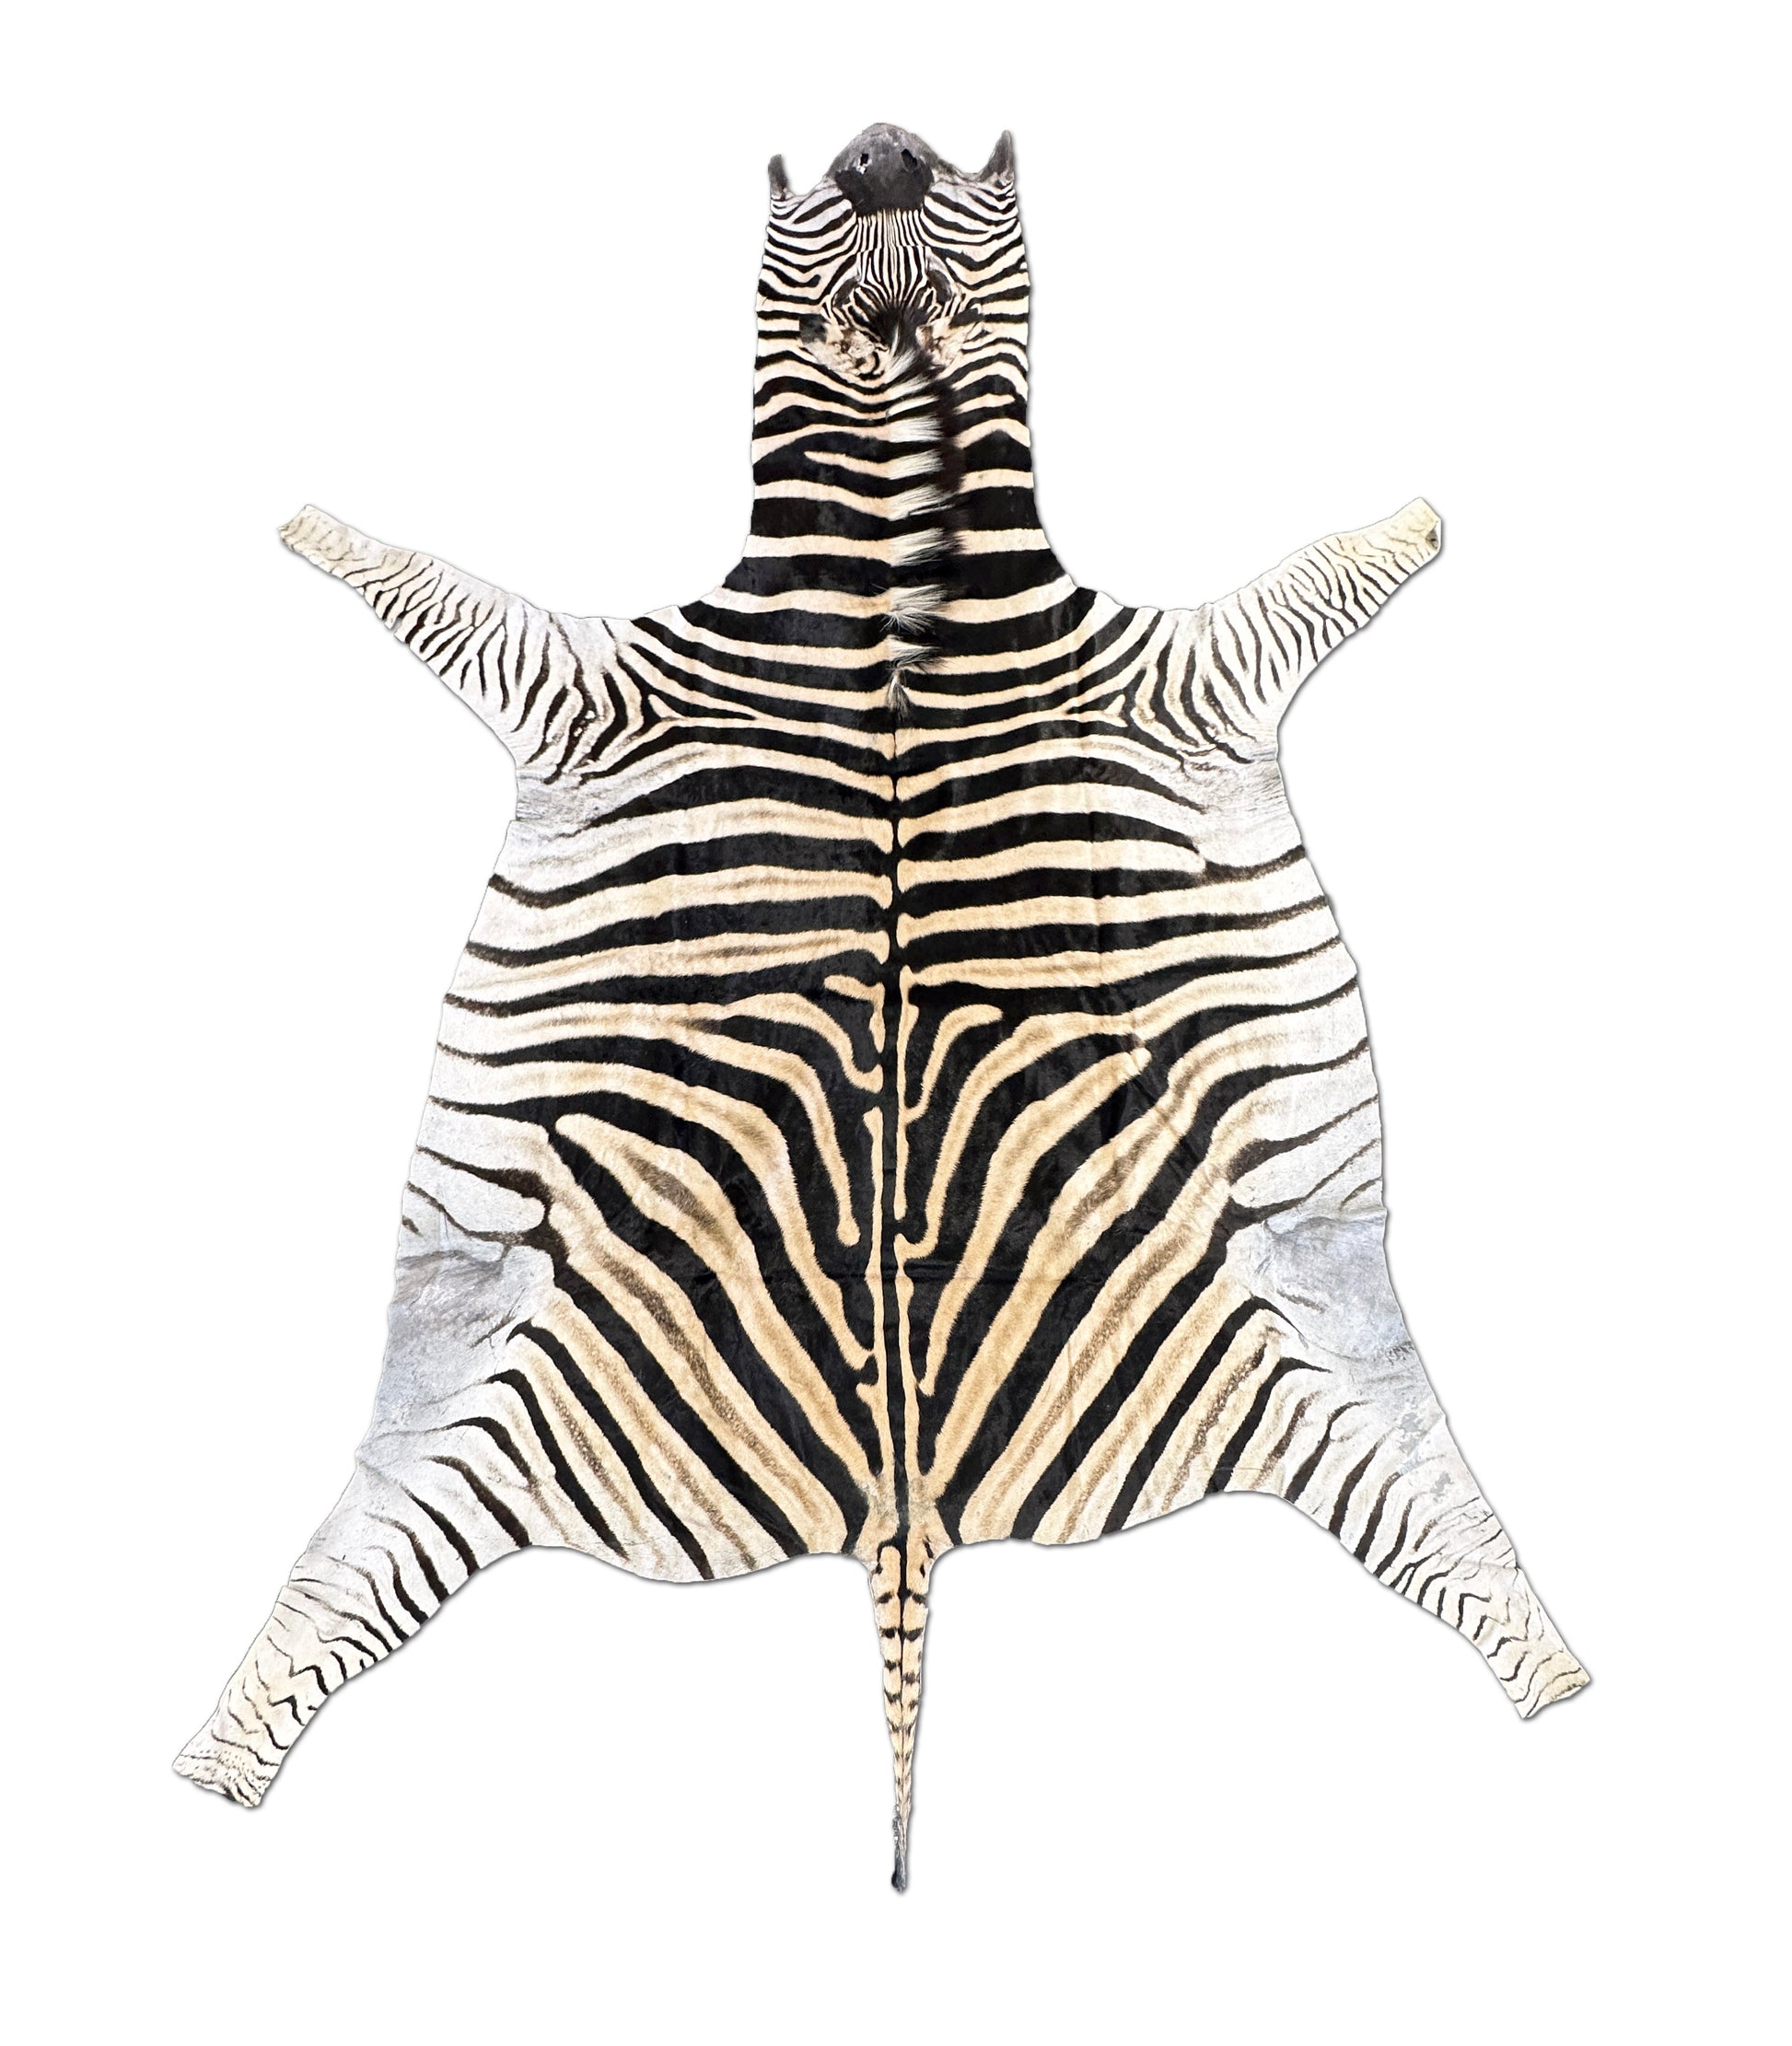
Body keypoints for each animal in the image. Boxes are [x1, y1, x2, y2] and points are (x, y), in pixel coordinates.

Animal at [176, 123, 1588, 1886]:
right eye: (815, 187)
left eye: (971, 180)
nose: (880, 149)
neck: (887, 570)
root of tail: (900, 1516)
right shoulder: (590, 683)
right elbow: (420, 581)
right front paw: (309, 524)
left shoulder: (1191, 671)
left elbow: (1333, 567)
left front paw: (1418, 515)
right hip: (472, 1376)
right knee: (334, 1589)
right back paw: (210, 1766)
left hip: (1322, 1342)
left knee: (1460, 1543)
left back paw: (1562, 1675)